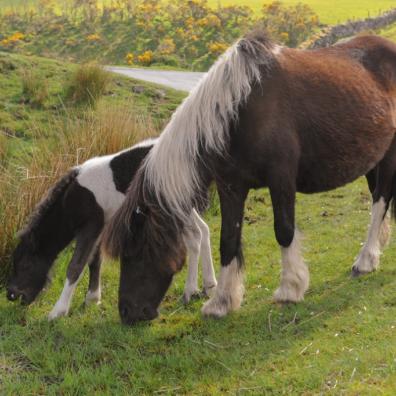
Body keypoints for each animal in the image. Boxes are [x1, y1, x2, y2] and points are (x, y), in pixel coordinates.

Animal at [6, 138, 217, 320]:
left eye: (24, 265)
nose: (11, 295)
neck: (73, 199)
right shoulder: (103, 224)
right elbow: (94, 259)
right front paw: (92, 298)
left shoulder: (91, 225)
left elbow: (76, 265)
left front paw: (58, 311)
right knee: (204, 230)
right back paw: (209, 285)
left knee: (195, 237)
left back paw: (190, 291)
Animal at [102, 31, 396, 324]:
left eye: (136, 250)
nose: (127, 312)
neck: (239, 112)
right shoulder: (231, 187)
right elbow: (228, 241)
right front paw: (221, 301)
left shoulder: (281, 179)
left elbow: (284, 231)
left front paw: (290, 288)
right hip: (372, 159)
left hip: (388, 157)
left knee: (380, 201)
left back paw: (365, 260)